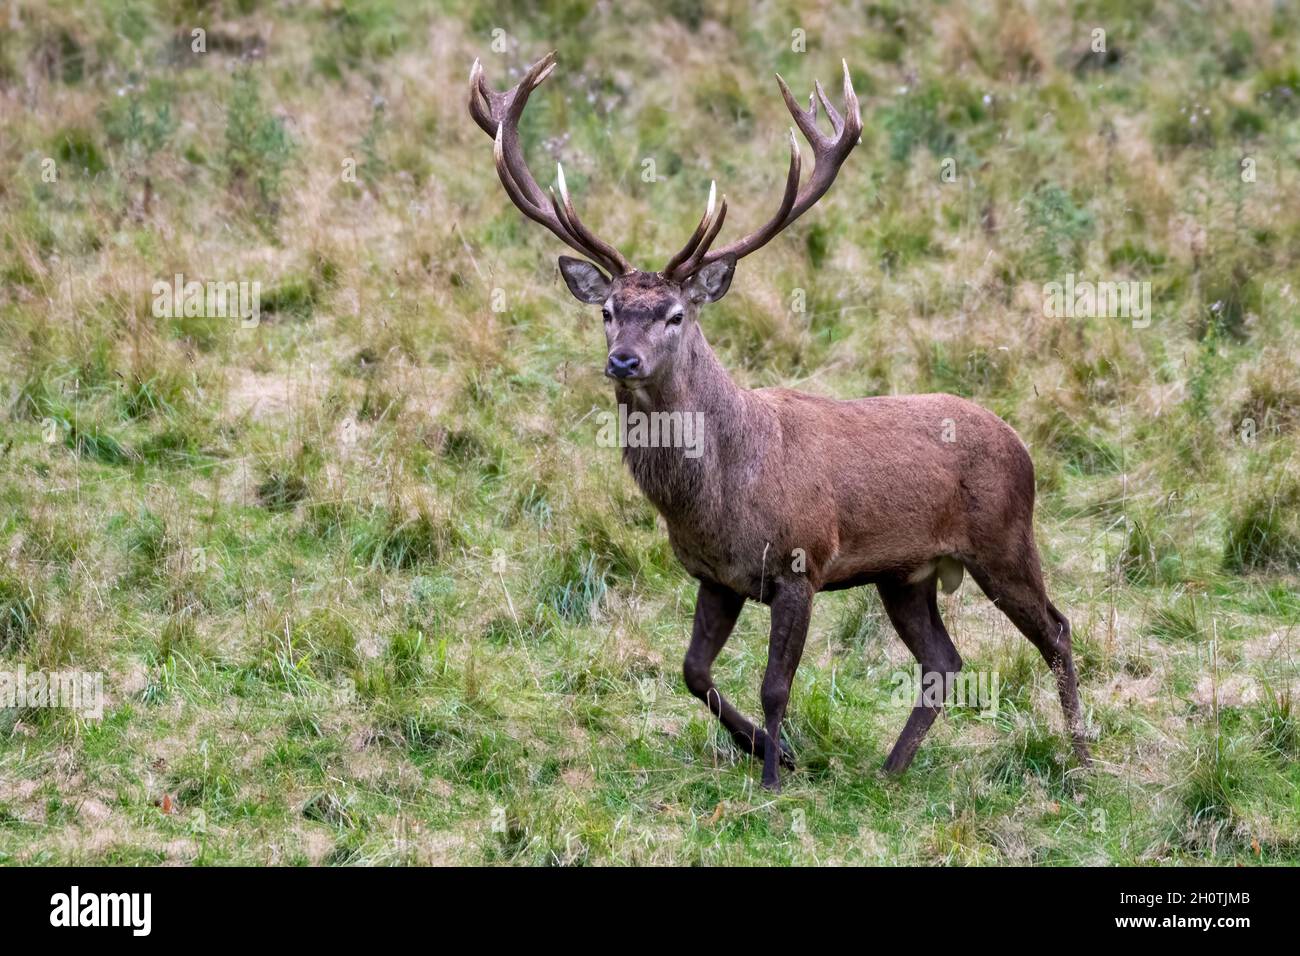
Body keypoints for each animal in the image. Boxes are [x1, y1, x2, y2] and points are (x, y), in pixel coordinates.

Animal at [469, 52, 1091, 790]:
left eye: (675, 314)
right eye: (608, 311)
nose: (623, 360)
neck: (717, 496)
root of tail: (1021, 442)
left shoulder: (802, 561)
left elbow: (775, 684)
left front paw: (772, 778)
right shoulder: (715, 576)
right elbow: (693, 671)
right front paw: (780, 753)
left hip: (1004, 540)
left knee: (1057, 629)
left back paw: (1082, 757)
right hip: (905, 575)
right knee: (944, 660)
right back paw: (890, 770)